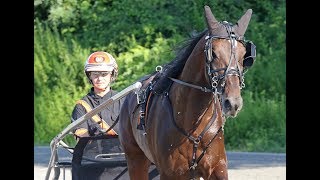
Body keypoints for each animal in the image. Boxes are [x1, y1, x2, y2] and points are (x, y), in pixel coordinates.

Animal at [117, 4, 255, 179]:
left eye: (244, 55)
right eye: (213, 52)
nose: (233, 103)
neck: (193, 124)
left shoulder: (217, 168)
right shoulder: (169, 173)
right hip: (135, 159)